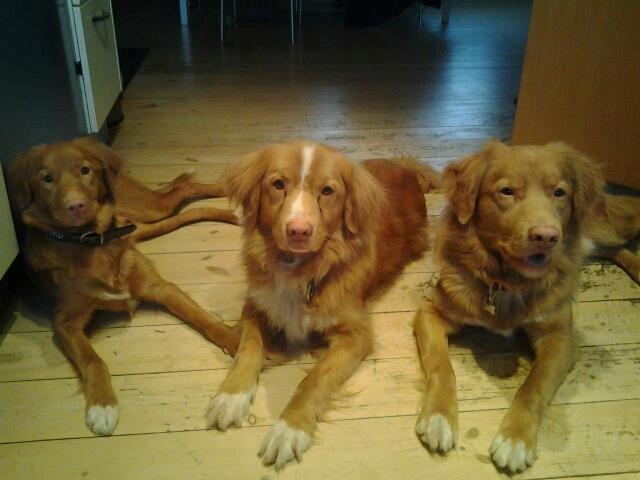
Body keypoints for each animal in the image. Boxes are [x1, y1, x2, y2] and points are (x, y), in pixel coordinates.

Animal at [208, 140, 438, 468]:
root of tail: (404, 167)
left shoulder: (356, 335)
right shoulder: (257, 304)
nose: (298, 231)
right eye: (278, 184)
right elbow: (247, 349)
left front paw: (289, 429)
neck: (300, 270)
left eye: (327, 191)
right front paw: (231, 395)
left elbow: (314, 379)